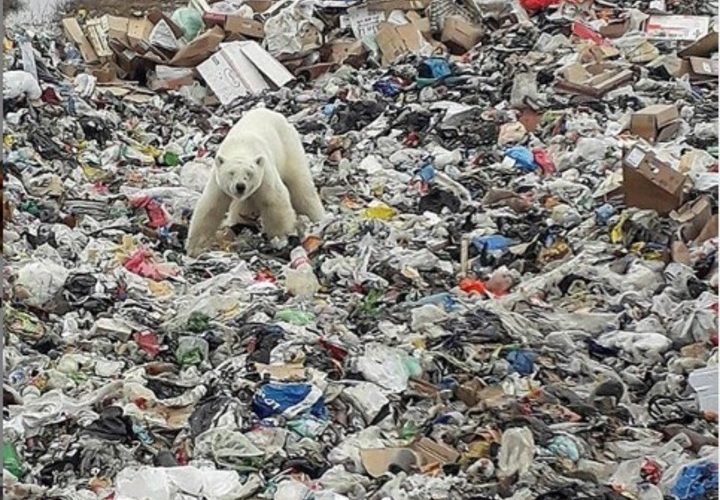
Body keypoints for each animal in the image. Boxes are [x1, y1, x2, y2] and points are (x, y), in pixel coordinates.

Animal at [185, 108, 325, 257]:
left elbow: (275, 200)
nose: (240, 186)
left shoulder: (264, 172)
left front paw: (281, 238)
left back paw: (317, 218)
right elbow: (210, 206)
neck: (241, 147)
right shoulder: (217, 180)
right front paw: (195, 248)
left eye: (249, 173)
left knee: (301, 186)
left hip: (289, 147)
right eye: (231, 173)